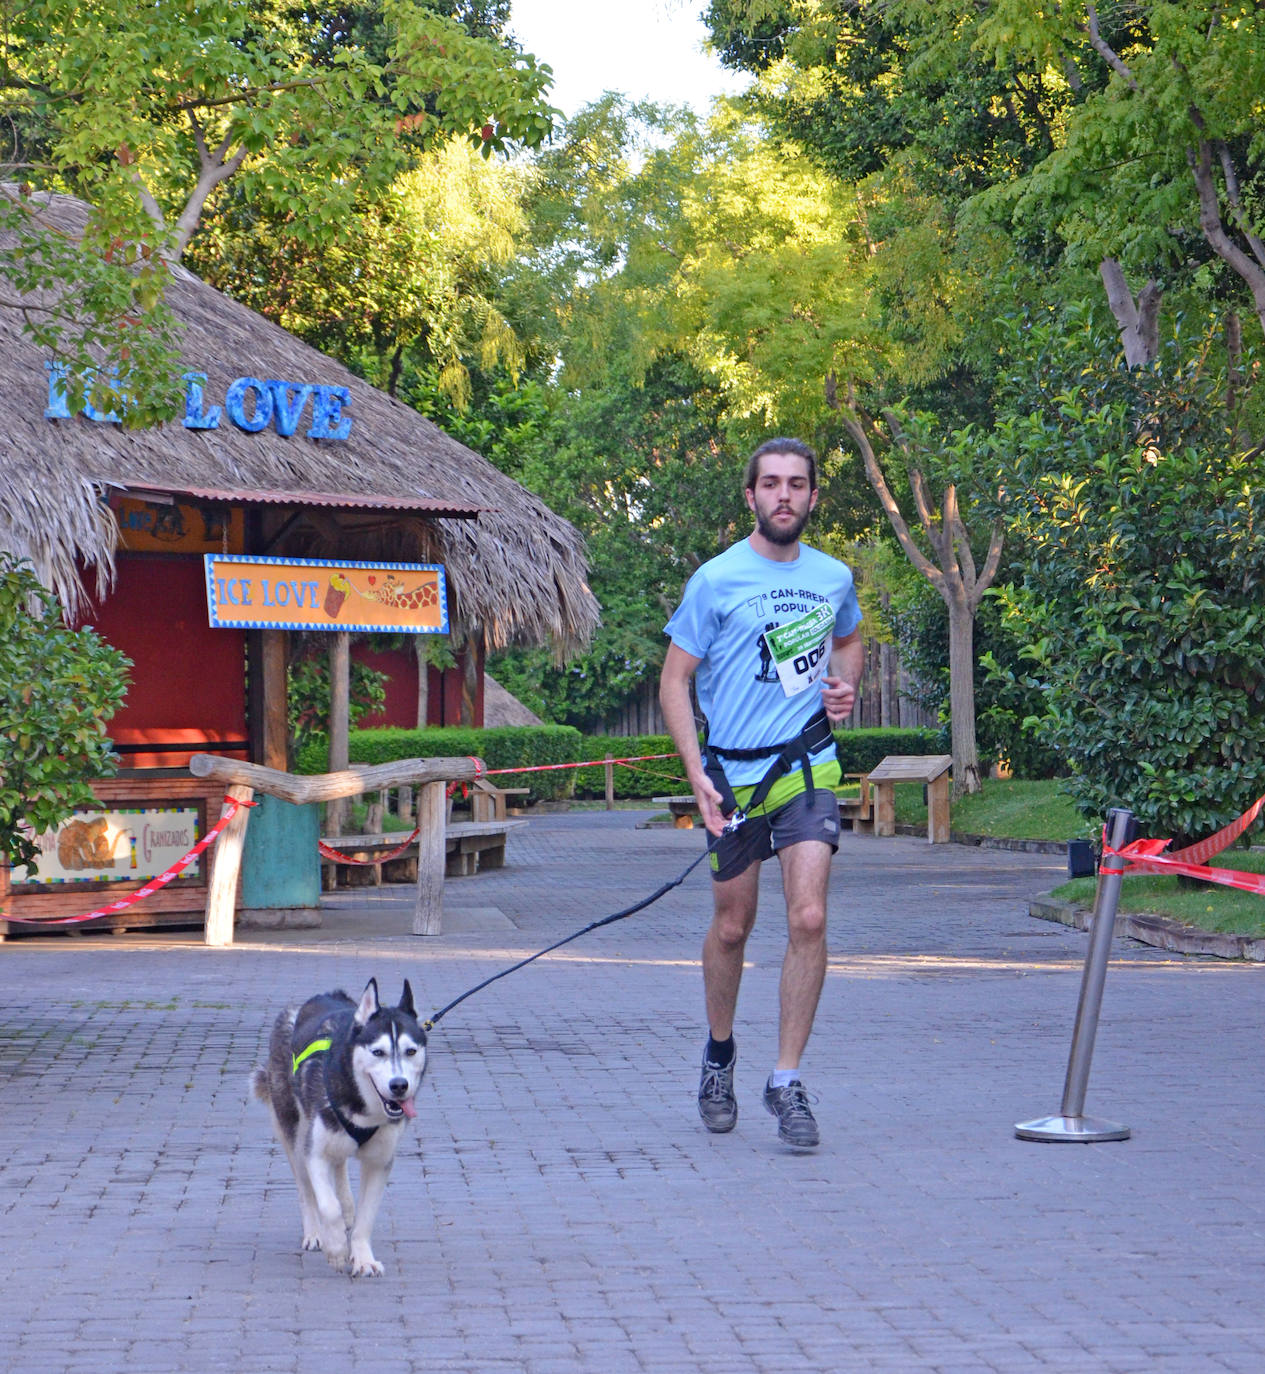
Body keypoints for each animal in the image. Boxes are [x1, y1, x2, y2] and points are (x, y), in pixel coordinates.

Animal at [254, 978, 425, 1275]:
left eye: (411, 1051)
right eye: (378, 1052)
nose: (399, 1085)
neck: (363, 1109)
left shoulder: (380, 1162)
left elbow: (365, 1218)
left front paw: (363, 1257)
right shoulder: (315, 1153)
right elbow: (327, 1205)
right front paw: (336, 1249)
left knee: (340, 1167)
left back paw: (348, 1209)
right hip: (295, 1134)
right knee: (306, 1189)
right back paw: (314, 1233)